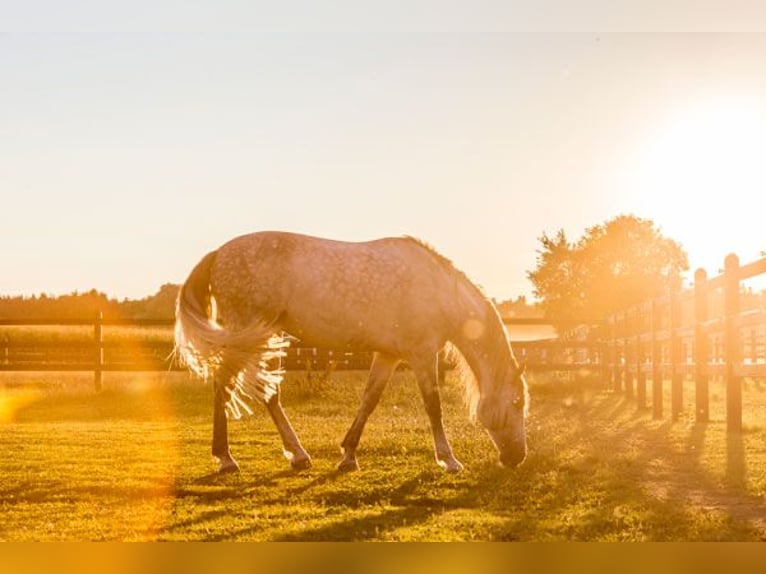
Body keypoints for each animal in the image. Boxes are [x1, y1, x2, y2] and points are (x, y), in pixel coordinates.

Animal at [174, 231, 528, 474]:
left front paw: (348, 455)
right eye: (516, 403)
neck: (438, 289)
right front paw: (449, 459)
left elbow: (369, 400)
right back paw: (226, 458)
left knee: (268, 395)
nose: (517, 458)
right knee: (223, 386)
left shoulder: (388, 356)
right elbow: (433, 406)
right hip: (245, 339)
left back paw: (298, 455)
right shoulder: (423, 355)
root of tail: (219, 253)